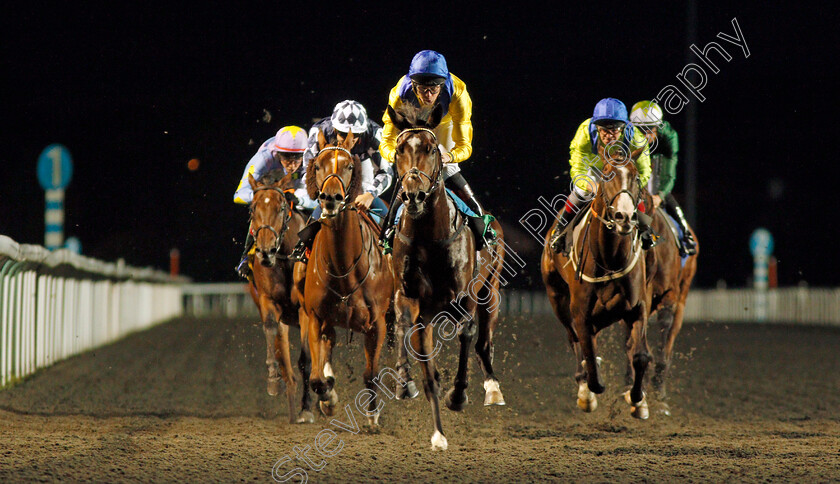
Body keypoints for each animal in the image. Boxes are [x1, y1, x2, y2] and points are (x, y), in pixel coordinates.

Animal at [248, 171, 316, 424]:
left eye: (281, 207)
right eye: (253, 208)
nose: (265, 251)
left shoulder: (305, 310)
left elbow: (306, 359)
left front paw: (307, 409)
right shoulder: (268, 302)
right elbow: (270, 331)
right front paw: (273, 379)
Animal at [300, 130, 396, 426]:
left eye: (349, 166)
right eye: (318, 166)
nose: (330, 198)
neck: (343, 266)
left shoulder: (377, 323)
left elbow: (371, 373)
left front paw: (373, 418)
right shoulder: (315, 316)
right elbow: (316, 378)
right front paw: (328, 399)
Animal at [388, 104, 506, 452]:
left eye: (430, 149)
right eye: (400, 149)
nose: (413, 195)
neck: (429, 236)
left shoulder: (464, 297)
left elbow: (467, 333)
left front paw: (459, 394)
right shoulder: (411, 298)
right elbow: (410, 336)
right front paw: (407, 386)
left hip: (491, 292)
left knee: (483, 342)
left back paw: (492, 388)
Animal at [540, 147, 652, 420]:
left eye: (636, 177)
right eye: (607, 175)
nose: (624, 217)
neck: (610, 258)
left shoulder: (638, 306)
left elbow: (640, 355)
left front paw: (637, 399)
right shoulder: (580, 314)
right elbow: (589, 358)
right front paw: (589, 391)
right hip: (557, 298)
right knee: (574, 340)